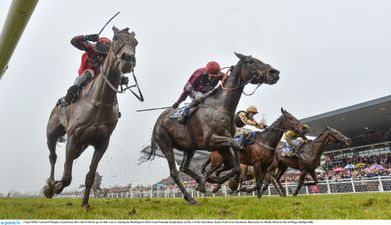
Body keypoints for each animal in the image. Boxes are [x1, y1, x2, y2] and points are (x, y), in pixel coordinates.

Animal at [43, 26, 139, 207]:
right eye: (116, 38)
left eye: (135, 42)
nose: (128, 59)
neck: (99, 102)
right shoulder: (73, 138)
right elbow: (66, 177)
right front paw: (56, 186)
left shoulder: (101, 143)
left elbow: (90, 176)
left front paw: (85, 204)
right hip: (52, 132)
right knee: (53, 157)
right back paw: (50, 185)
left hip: (83, 145)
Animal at [142, 52, 280, 204]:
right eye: (250, 61)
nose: (275, 72)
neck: (220, 107)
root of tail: (158, 121)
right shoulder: (211, 140)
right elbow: (235, 146)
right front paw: (220, 181)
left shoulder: (222, 143)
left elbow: (235, 166)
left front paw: (219, 181)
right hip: (165, 144)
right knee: (174, 172)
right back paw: (190, 198)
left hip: (189, 147)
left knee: (184, 167)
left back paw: (200, 182)